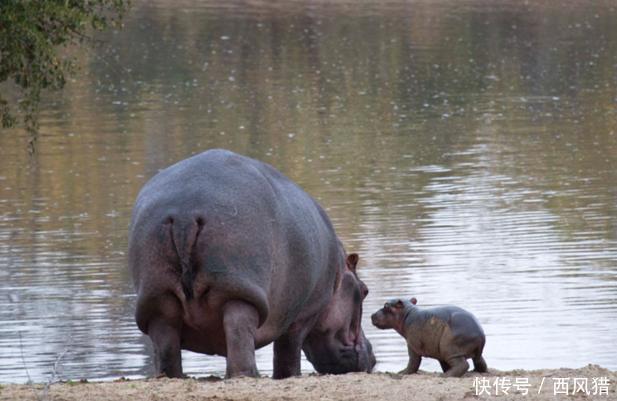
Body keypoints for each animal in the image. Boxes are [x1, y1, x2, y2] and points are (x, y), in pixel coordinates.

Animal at [127, 149, 372, 378]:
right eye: (365, 291)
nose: (372, 356)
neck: (339, 273)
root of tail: (184, 213)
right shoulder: (304, 314)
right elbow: (288, 351)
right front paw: (288, 376)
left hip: (157, 298)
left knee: (166, 344)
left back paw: (172, 376)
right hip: (238, 291)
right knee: (239, 334)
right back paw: (249, 375)